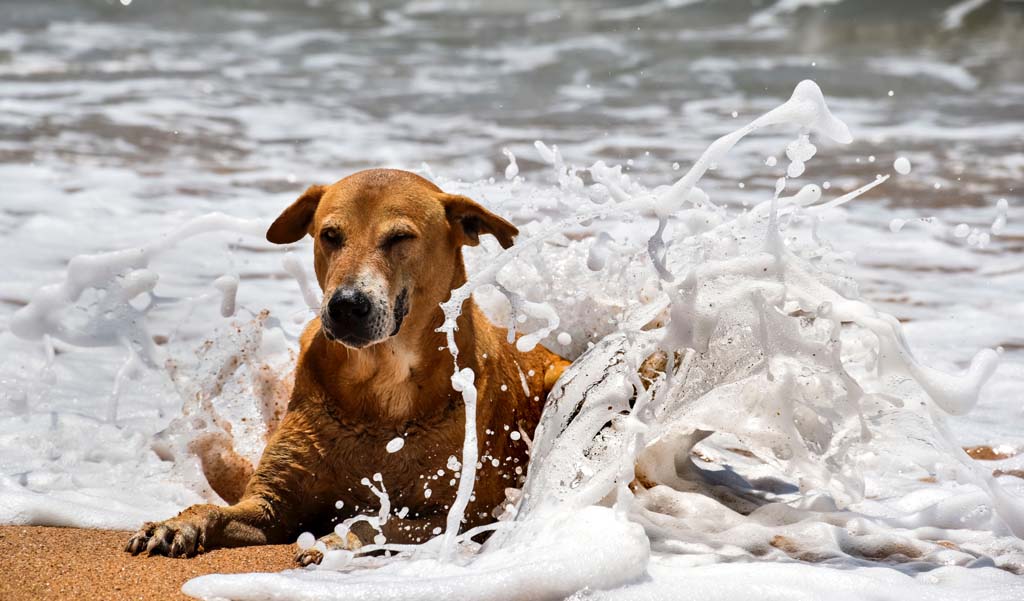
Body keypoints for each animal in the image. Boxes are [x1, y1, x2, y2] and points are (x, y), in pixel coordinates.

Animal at [124, 167, 573, 565]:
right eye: (330, 236)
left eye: (400, 237)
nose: (346, 306)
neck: (380, 384)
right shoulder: (273, 505)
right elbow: (215, 509)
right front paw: (175, 524)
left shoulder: (462, 515)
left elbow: (378, 523)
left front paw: (337, 539)